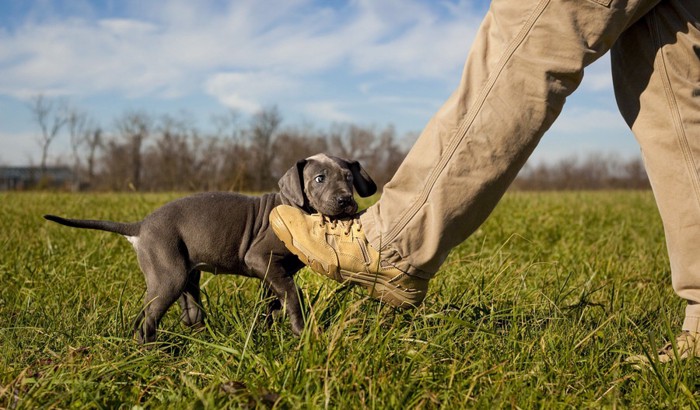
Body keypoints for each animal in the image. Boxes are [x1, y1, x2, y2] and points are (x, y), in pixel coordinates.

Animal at [43, 155, 378, 344]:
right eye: (319, 179)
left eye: (349, 178)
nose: (346, 201)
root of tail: (140, 226)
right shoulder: (260, 259)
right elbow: (292, 297)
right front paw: (302, 333)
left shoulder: (273, 273)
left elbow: (272, 303)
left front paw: (269, 332)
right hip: (168, 275)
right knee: (147, 318)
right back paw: (151, 352)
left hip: (185, 275)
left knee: (190, 313)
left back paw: (202, 339)